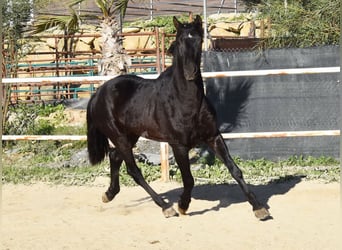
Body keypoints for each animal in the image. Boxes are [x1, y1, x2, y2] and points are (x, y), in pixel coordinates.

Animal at [86, 15, 270, 219]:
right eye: (180, 41)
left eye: (199, 40)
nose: (190, 73)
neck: (185, 102)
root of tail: (98, 93)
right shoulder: (179, 145)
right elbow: (188, 179)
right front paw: (183, 205)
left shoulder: (213, 137)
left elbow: (235, 170)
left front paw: (259, 207)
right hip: (119, 137)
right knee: (134, 170)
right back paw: (166, 207)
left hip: (130, 136)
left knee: (114, 156)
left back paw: (109, 194)